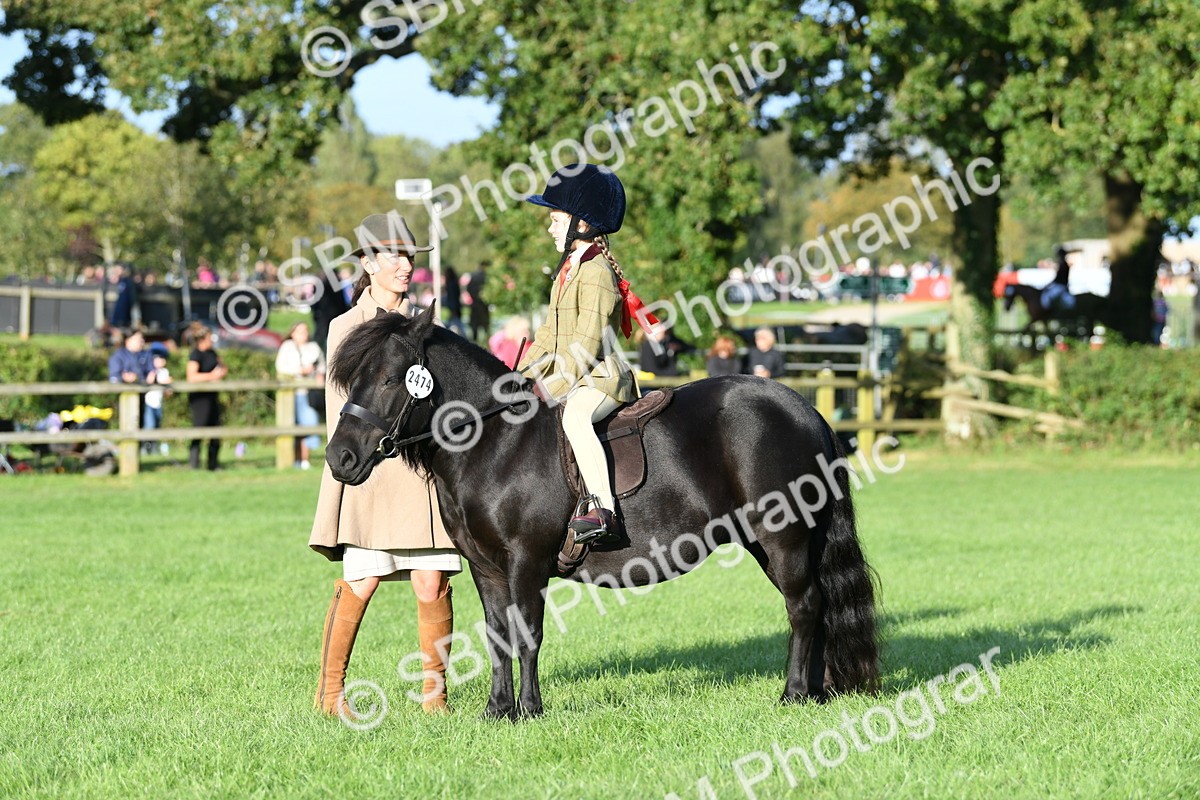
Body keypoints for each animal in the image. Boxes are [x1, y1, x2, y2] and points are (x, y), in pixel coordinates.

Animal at [325, 306, 879, 720]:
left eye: (391, 378)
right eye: (353, 380)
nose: (339, 458)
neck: (497, 442)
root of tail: (803, 407)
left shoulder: (526, 562)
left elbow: (528, 633)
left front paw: (529, 710)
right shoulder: (486, 568)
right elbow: (497, 636)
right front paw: (497, 710)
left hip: (783, 536)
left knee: (804, 606)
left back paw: (794, 695)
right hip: (772, 541)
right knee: (816, 606)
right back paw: (819, 692)